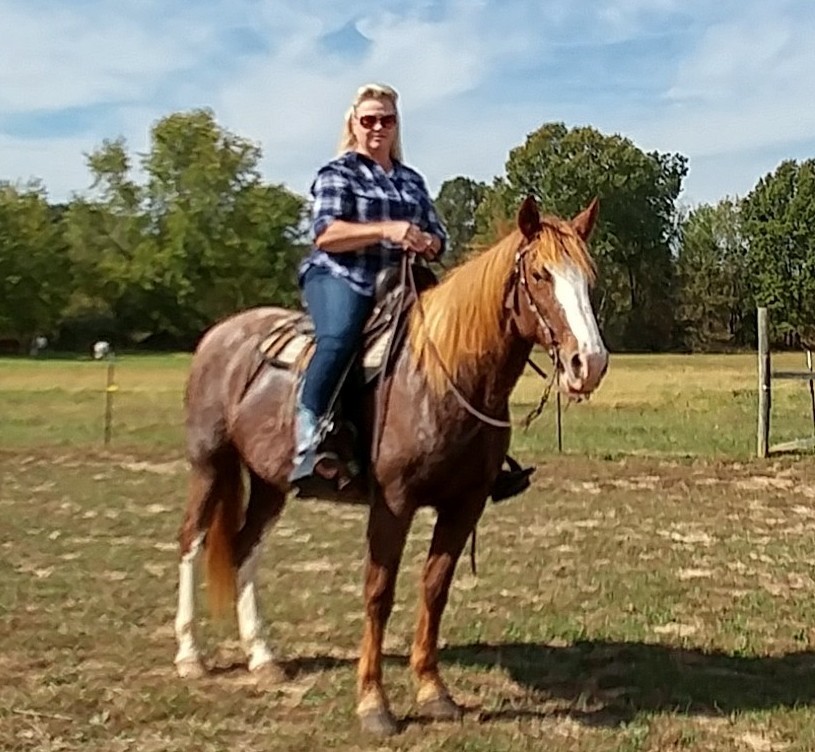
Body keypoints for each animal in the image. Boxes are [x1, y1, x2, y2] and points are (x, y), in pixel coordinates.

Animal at [175, 194, 608, 736]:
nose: (589, 363)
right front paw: (373, 703)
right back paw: (189, 655)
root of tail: (220, 335)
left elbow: (435, 589)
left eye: (588, 279)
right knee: (191, 541)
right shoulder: (393, 504)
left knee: (243, 548)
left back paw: (263, 657)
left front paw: (433, 691)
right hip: (209, 464)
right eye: (539, 274)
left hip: (270, 482)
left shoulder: (464, 505)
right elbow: (378, 594)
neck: (442, 377)